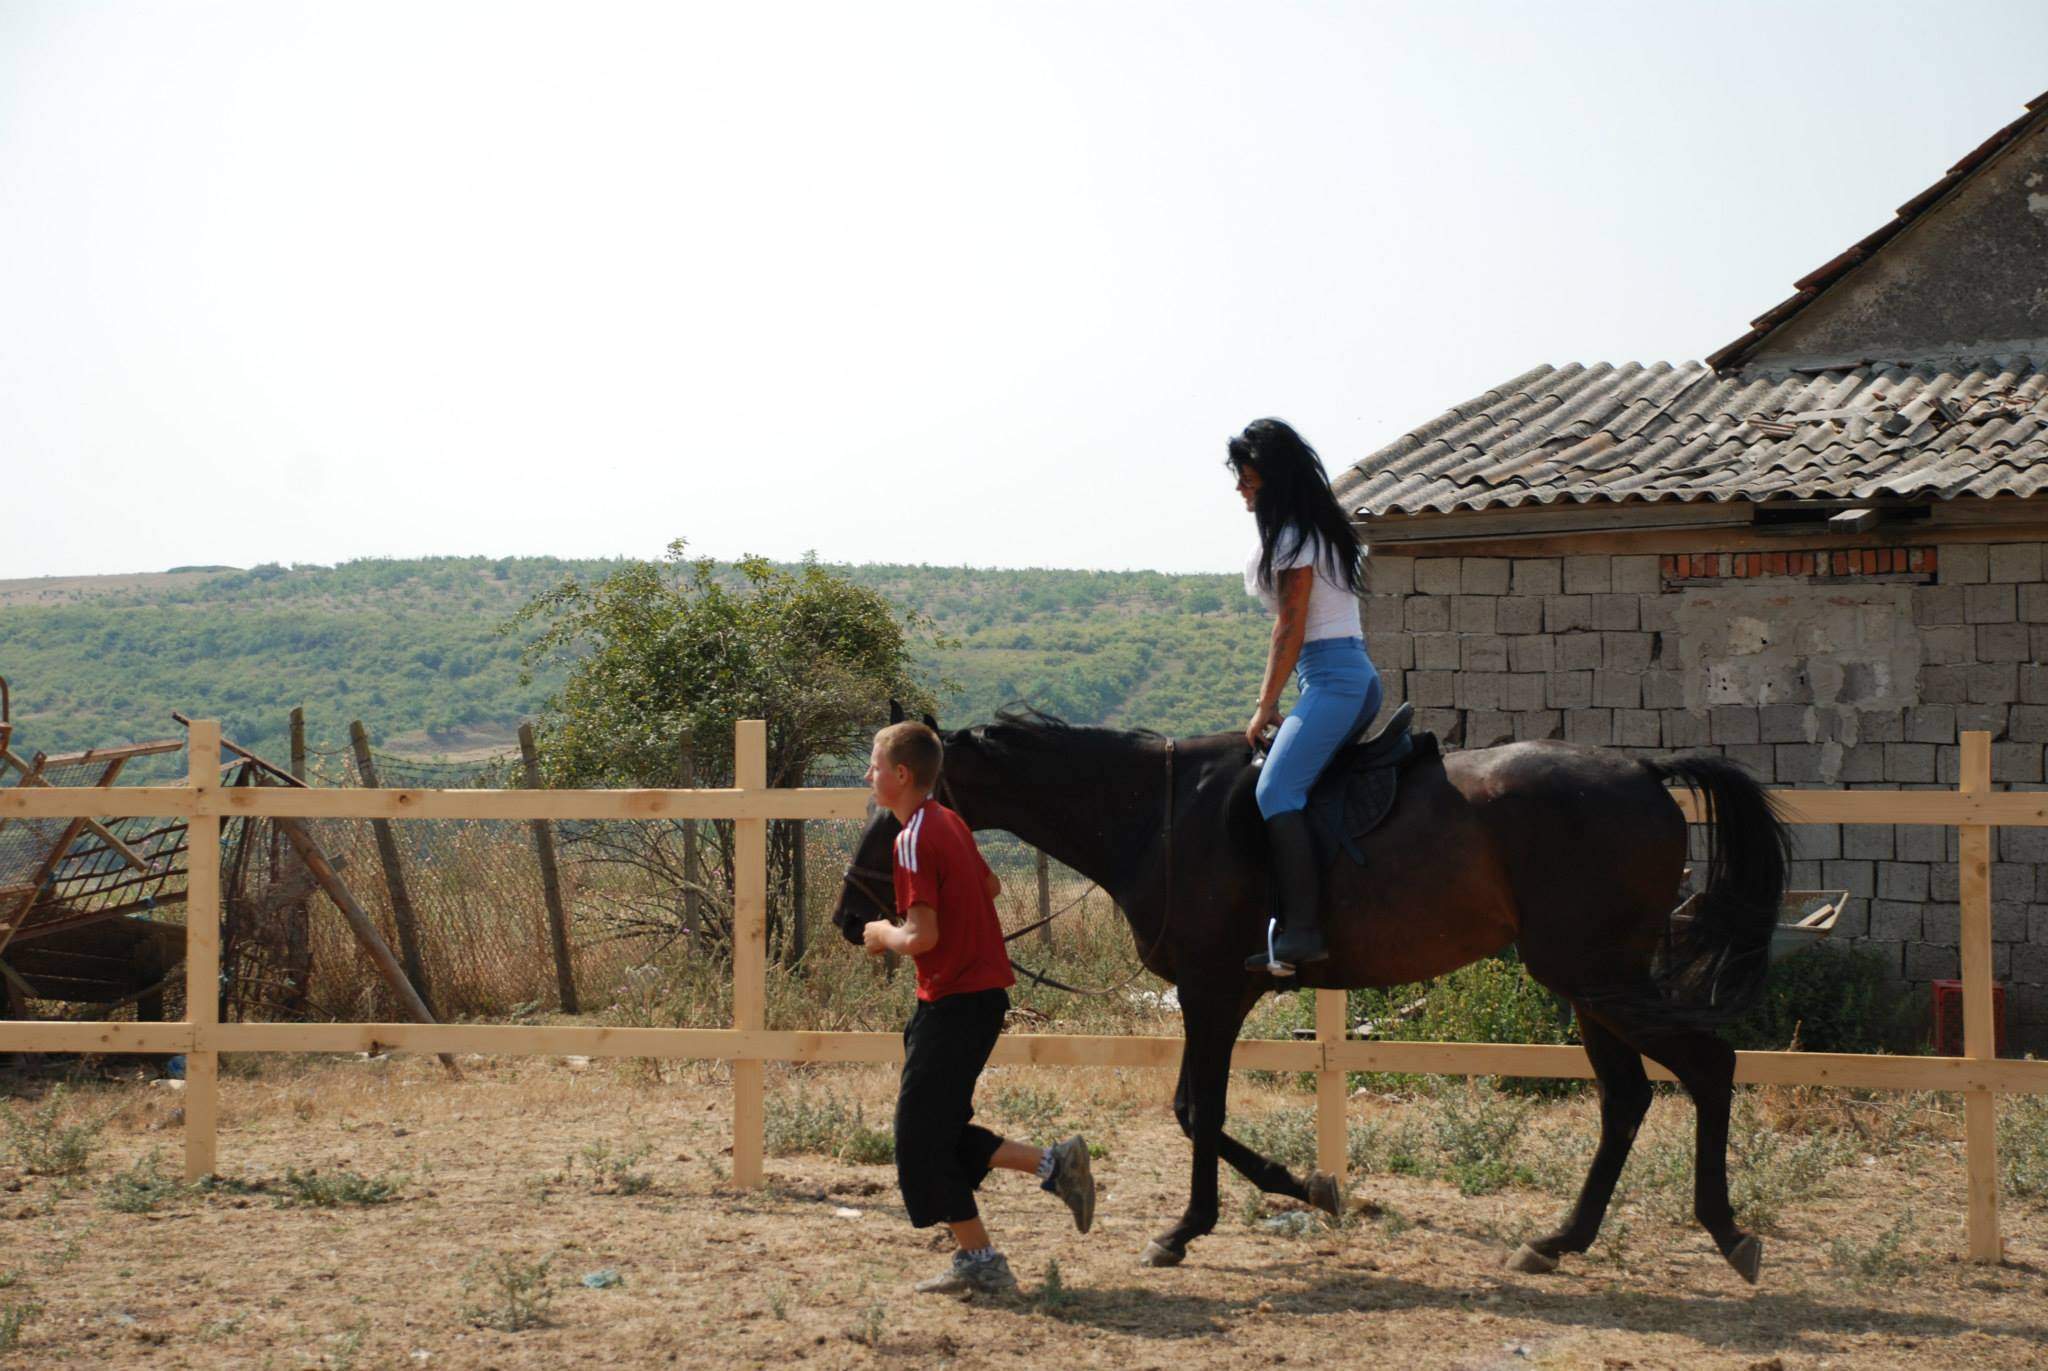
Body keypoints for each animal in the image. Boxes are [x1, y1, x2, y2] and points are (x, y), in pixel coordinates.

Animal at [831, 704, 1794, 1286]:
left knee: (1709, 1065)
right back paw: (1560, 1239)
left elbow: (1198, 1110)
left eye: (891, 811)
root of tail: (1644, 770)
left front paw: (1194, 1225)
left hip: (1598, 975)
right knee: (1628, 1097)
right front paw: (1309, 1190)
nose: (849, 916)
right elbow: (1197, 1111)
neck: (1157, 815)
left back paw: (1725, 1230)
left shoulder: (1212, 989)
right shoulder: (1225, 995)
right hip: (1592, 983)